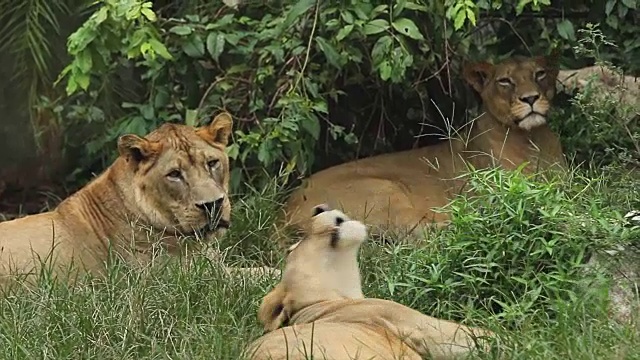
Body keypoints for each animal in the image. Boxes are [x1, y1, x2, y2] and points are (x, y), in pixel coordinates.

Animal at [284, 52, 564, 233]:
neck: (531, 139)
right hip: (384, 191)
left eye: (539, 74)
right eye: (505, 81)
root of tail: (282, 214)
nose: (531, 98)